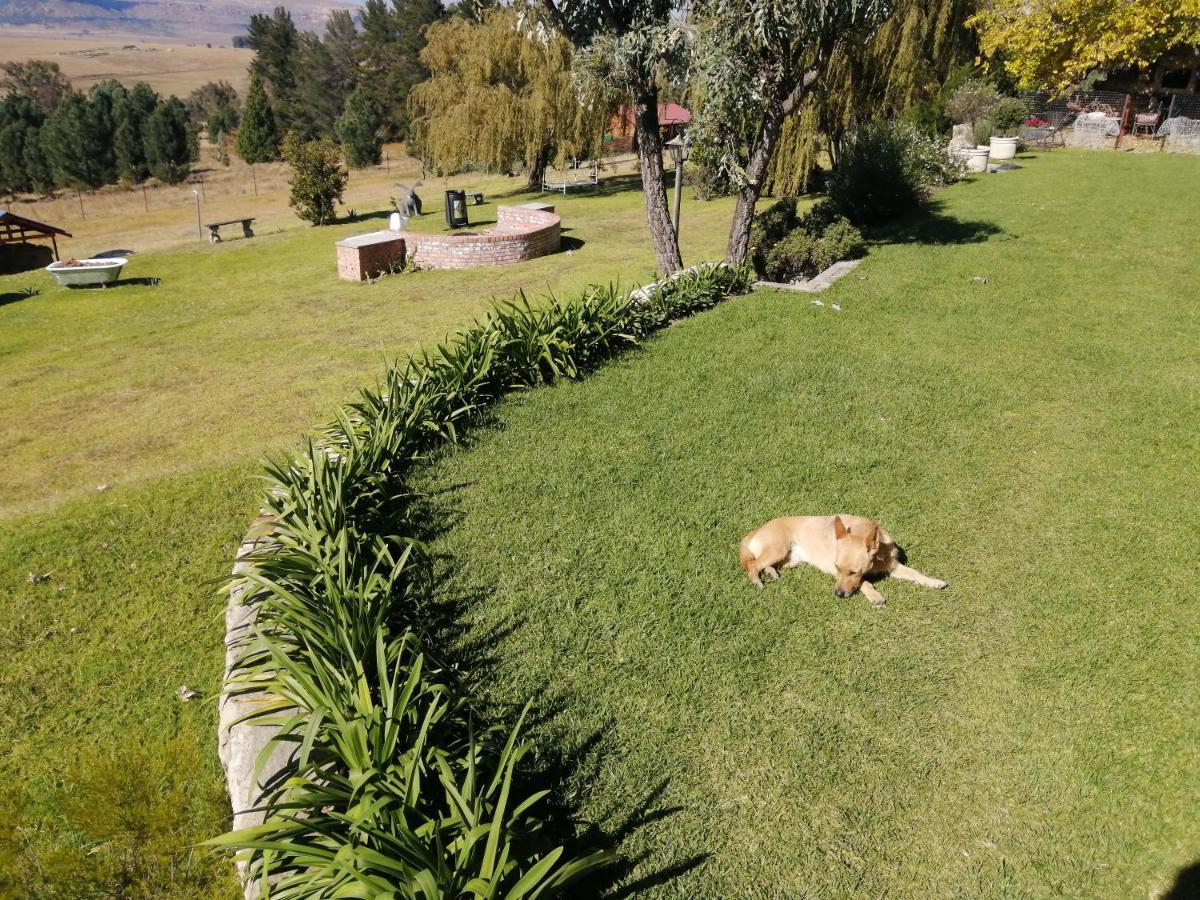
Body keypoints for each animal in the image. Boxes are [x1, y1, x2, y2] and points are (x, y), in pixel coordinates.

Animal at [739, 513, 945, 607]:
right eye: (837, 568)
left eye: (853, 572)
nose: (837, 594)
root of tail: (756, 530)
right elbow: (865, 583)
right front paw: (874, 596)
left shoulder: (893, 566)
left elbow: (916, 573)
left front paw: (934, 581)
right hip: (778, 549)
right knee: (752, 564)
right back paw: (757, 580)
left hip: (789, 559)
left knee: (765, 564)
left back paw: (771, 573)